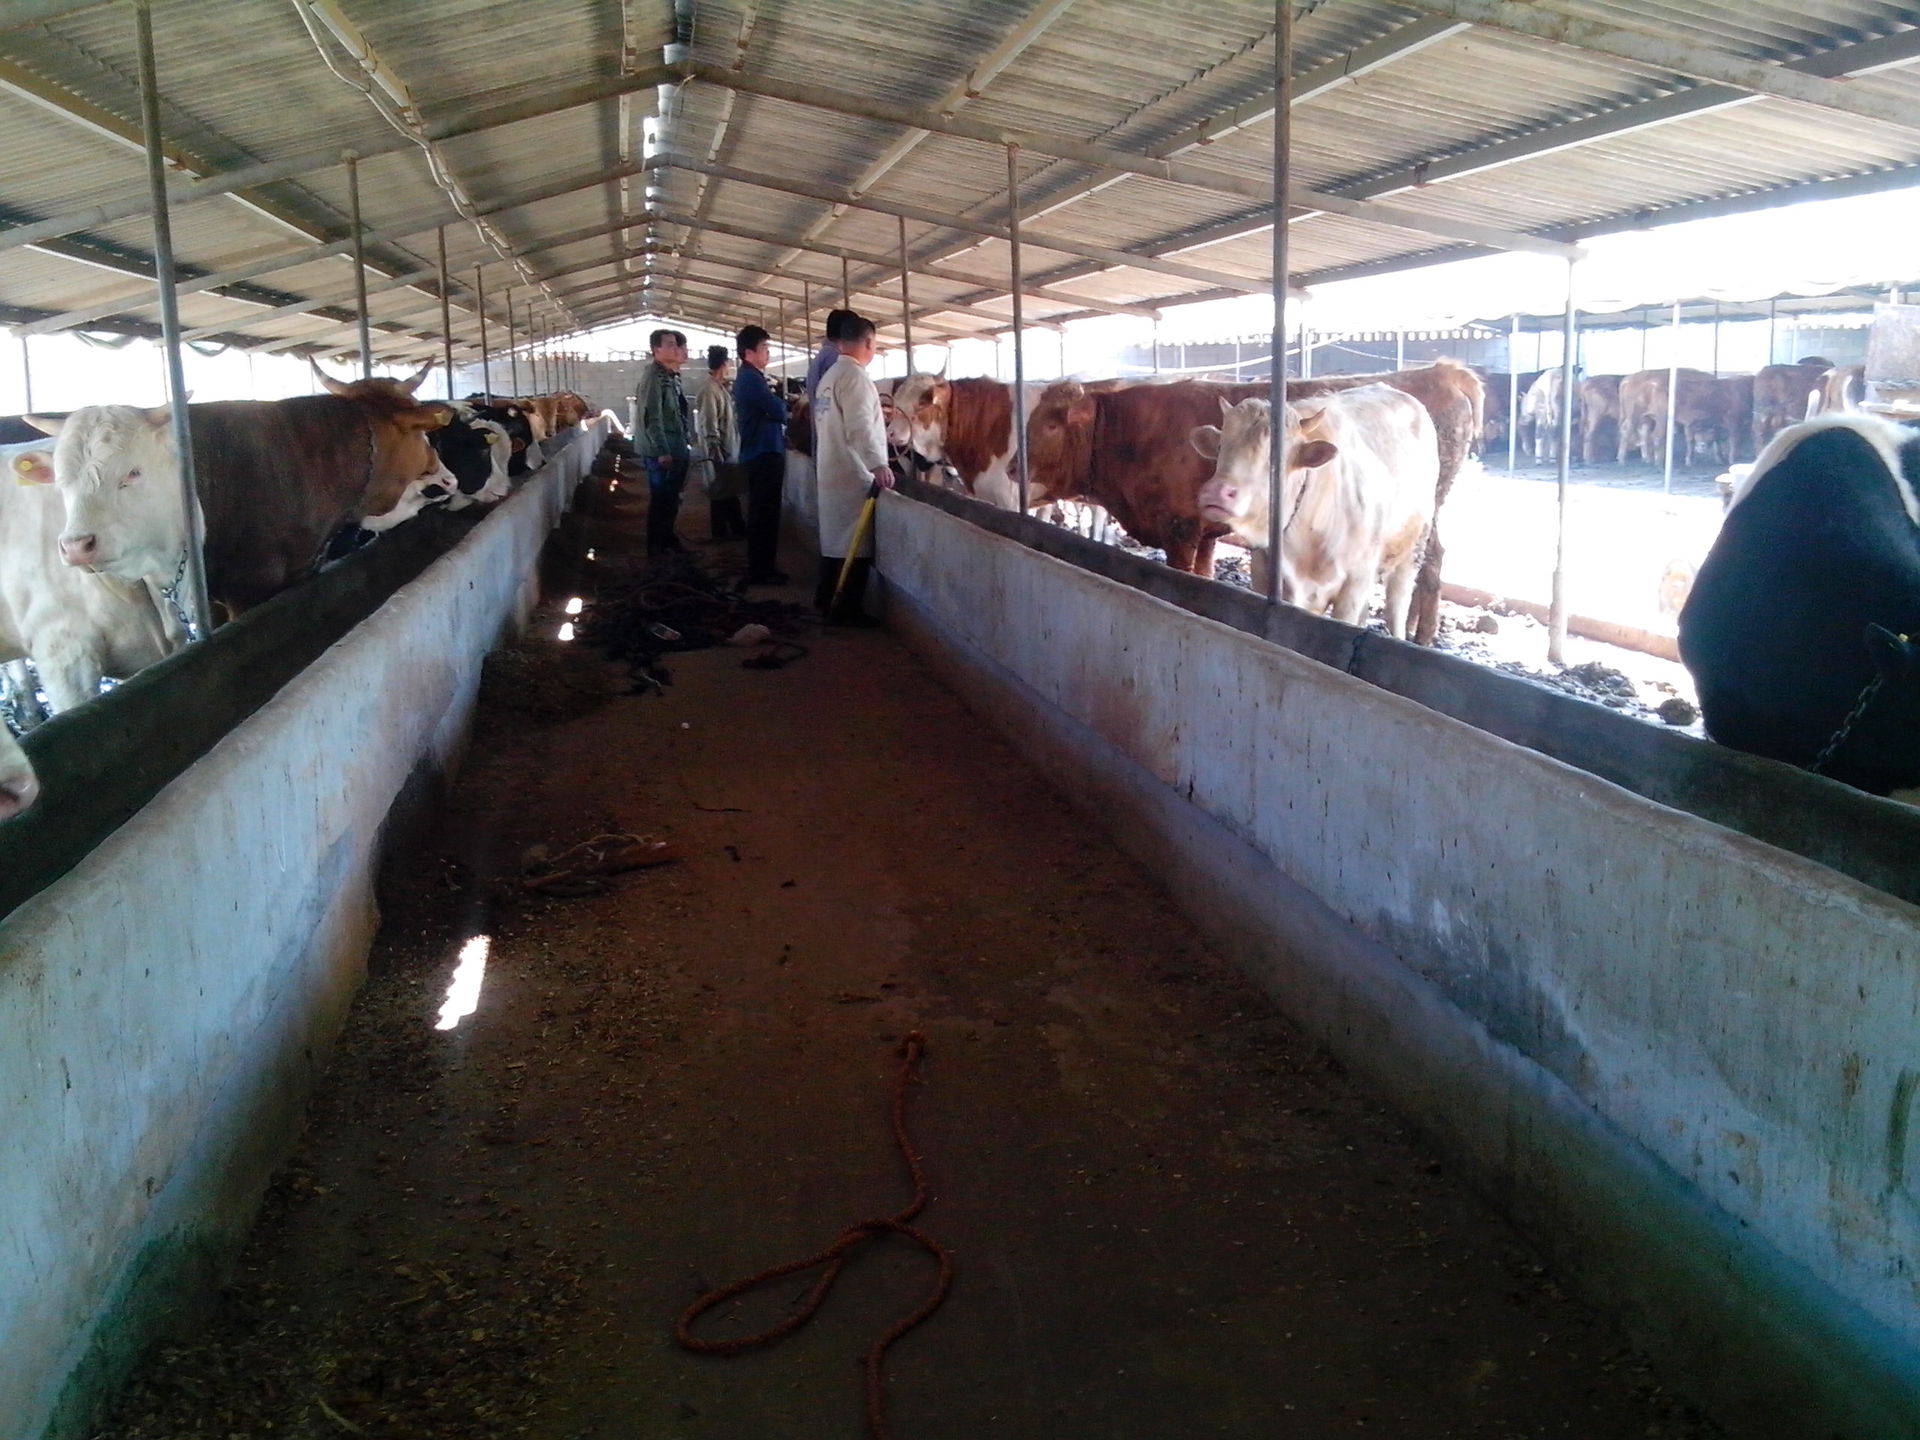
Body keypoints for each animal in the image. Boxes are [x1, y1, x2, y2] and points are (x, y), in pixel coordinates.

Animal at [1182, 384, 1443, 637]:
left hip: (1412, 550)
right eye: (1220, 447)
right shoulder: (1264, 576)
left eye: (1277, 457)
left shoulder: (1355, 583)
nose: (1216, 492)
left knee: (1397, 604)